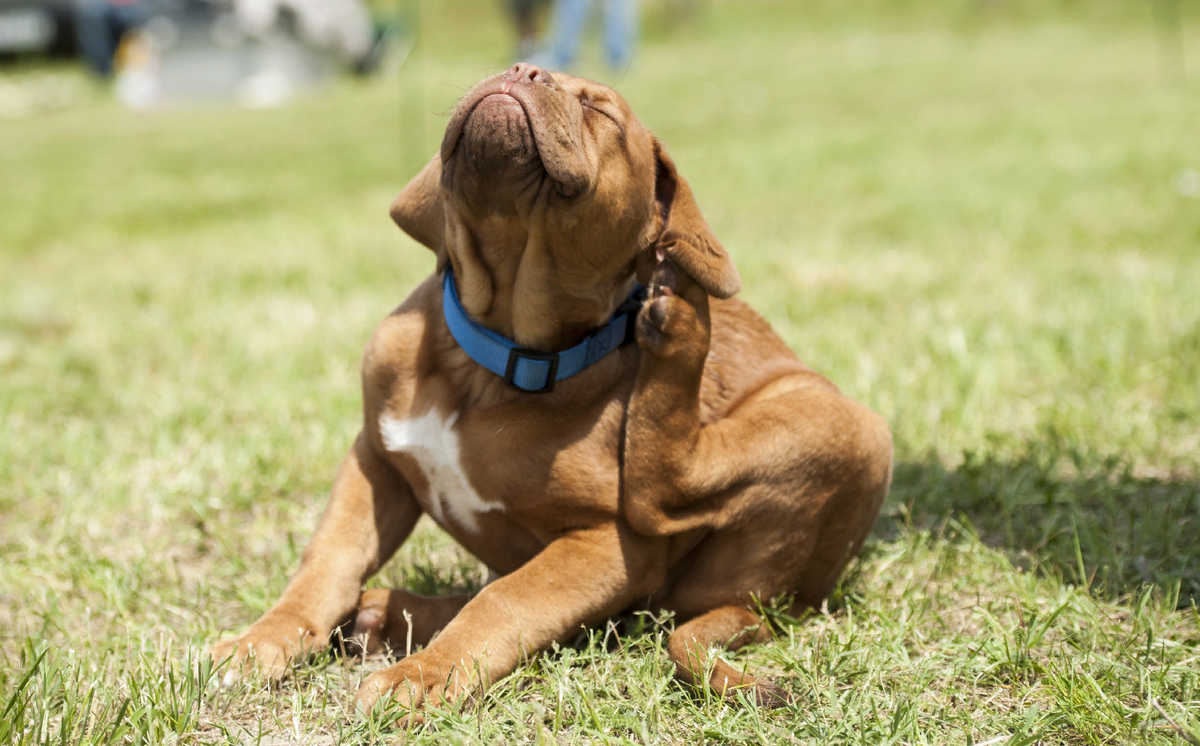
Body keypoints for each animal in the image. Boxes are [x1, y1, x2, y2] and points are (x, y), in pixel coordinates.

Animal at [211, 62, 892, 719]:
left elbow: (507, 602)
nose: (523, 69)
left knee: (664, 494)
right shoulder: (374, 460)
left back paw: (682, 323)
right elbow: (327, 563)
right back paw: (387, 613)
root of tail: (771, 603)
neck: (491, 359)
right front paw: (261, 641)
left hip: (845, 425)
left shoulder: (609, 546)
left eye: (600, 111)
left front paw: (423, 677)